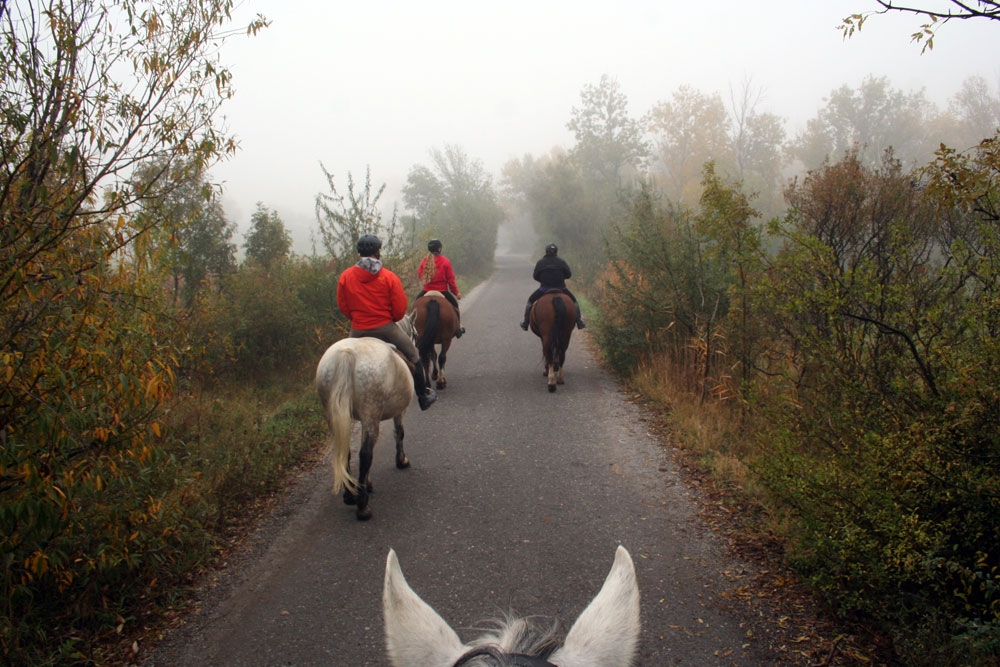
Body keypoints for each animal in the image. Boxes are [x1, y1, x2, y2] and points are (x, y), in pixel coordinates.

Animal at [316, 322, 418, 520]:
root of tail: (347, 354)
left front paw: (366, 483)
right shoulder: (396, 412)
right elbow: (399, 433)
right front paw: (401, 461)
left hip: (333, 413)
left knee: (345, 451)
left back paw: (350, 494)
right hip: (371, 411)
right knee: (365, 454)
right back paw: (362, 505)